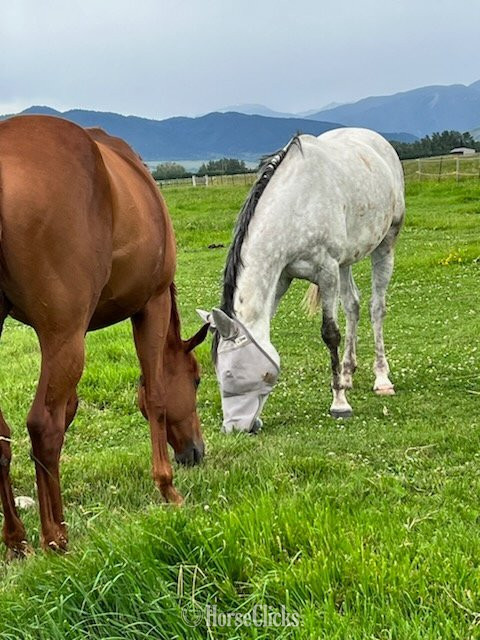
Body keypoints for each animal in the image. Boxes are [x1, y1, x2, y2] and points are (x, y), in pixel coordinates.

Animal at [0, 115, 208, 559]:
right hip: (63, 336)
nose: (196, 452)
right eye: (198, 379)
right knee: (42, 427)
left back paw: (17, 538)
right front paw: (167, 489)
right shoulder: (150, 305)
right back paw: (55, 536)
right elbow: (156, 397)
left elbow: (70, 412)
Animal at [198, 128, 405, 434]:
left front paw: (339, 403)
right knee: (352, 306)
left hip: (385, 243)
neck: (296, 204)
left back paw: (381, 379)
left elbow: (330, 334)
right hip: (346, 261)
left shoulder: (327, 272)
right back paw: (347, 373)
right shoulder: (281, 279)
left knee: (376, 308)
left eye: (230, 372)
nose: (233, 428)